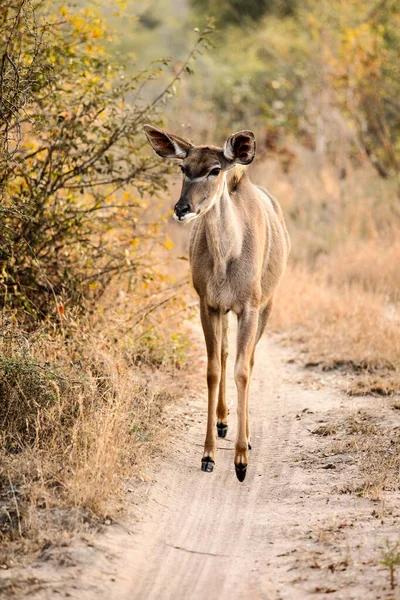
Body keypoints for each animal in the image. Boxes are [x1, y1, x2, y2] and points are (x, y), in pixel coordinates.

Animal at [144, 124, 290, 480]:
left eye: (214, 170)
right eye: (183, 168)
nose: (182, 209)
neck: (228, 257)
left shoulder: (250, 307)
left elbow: (243, 370)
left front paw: (241, 461)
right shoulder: (208, 305)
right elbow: (212, 369)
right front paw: (208, 455)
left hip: (266, 306)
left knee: (247, 361)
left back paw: (244, 437)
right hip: (225, 312)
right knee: (224, 354)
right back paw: (224, 422)